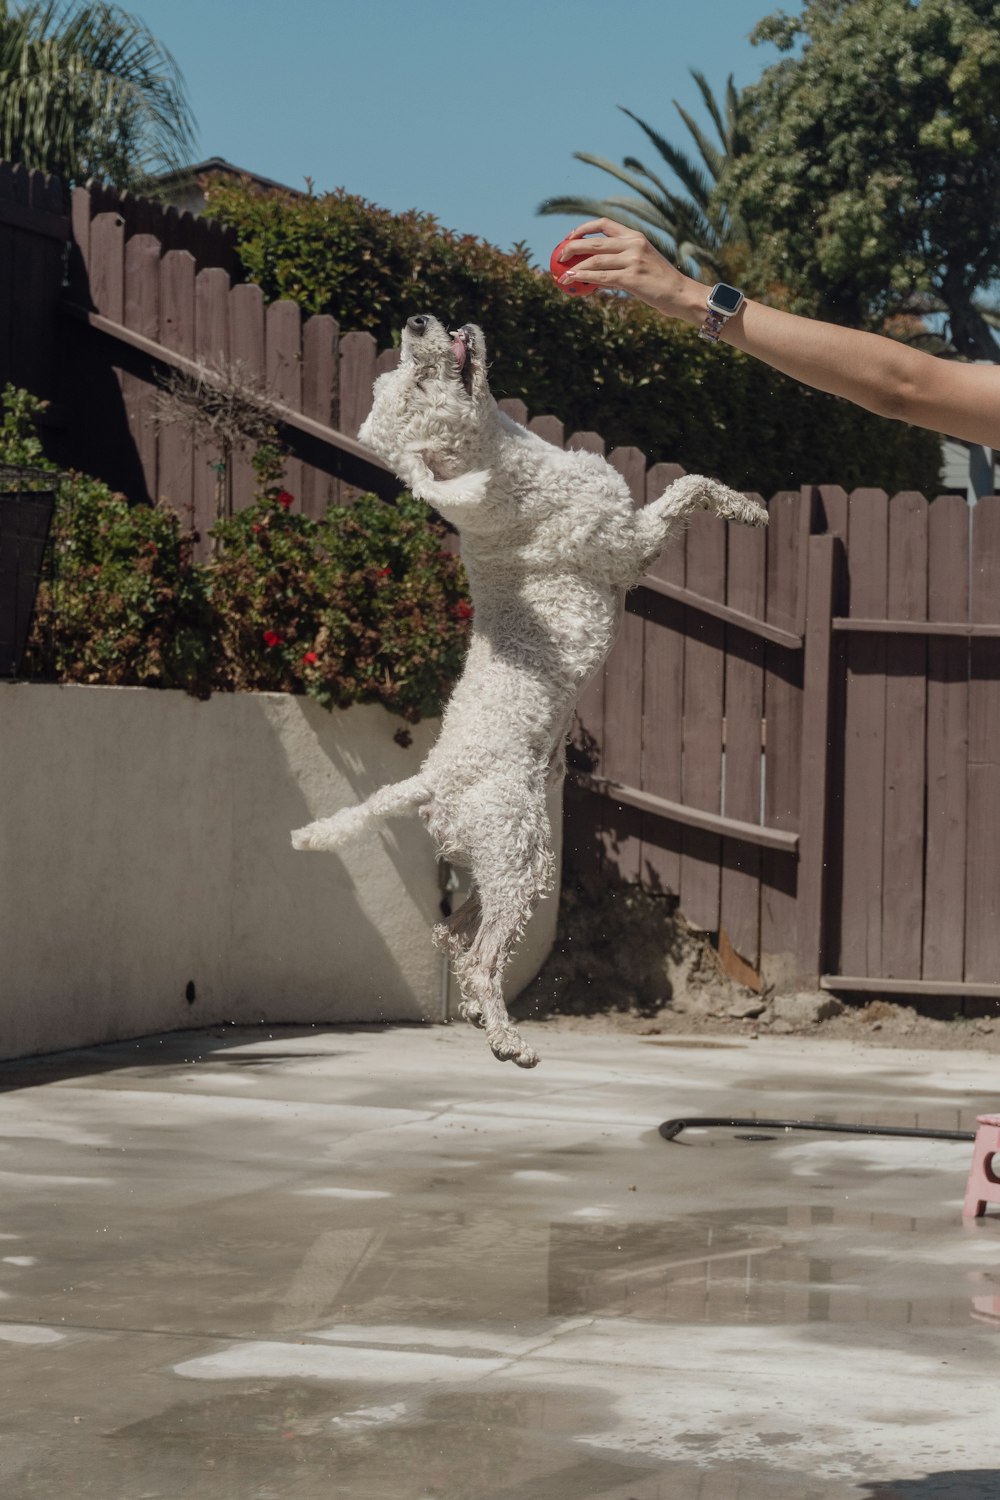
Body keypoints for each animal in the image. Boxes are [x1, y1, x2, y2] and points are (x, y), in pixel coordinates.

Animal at [289, 313, 767, 1068]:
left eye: (401, 374)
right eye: (419, 382)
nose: (417, 321)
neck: (503, 477)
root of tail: (432, 779)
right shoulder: (629, 544)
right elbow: (690, 485)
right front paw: (746, 508)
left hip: (509, 860)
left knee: (453, 934)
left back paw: (481, 1018)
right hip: (518, 850)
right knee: (482, 956)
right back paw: (507, 1040)